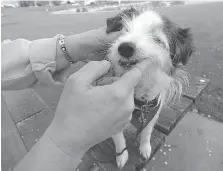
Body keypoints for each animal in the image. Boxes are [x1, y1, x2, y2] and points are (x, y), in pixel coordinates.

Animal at [105, 7, 194, 168]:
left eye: (157, 40)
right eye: (124, 30)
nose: (125, 48)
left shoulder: (152, 112)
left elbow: (147, 133)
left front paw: (145, 148)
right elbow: (119, 139)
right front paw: (122, 157)